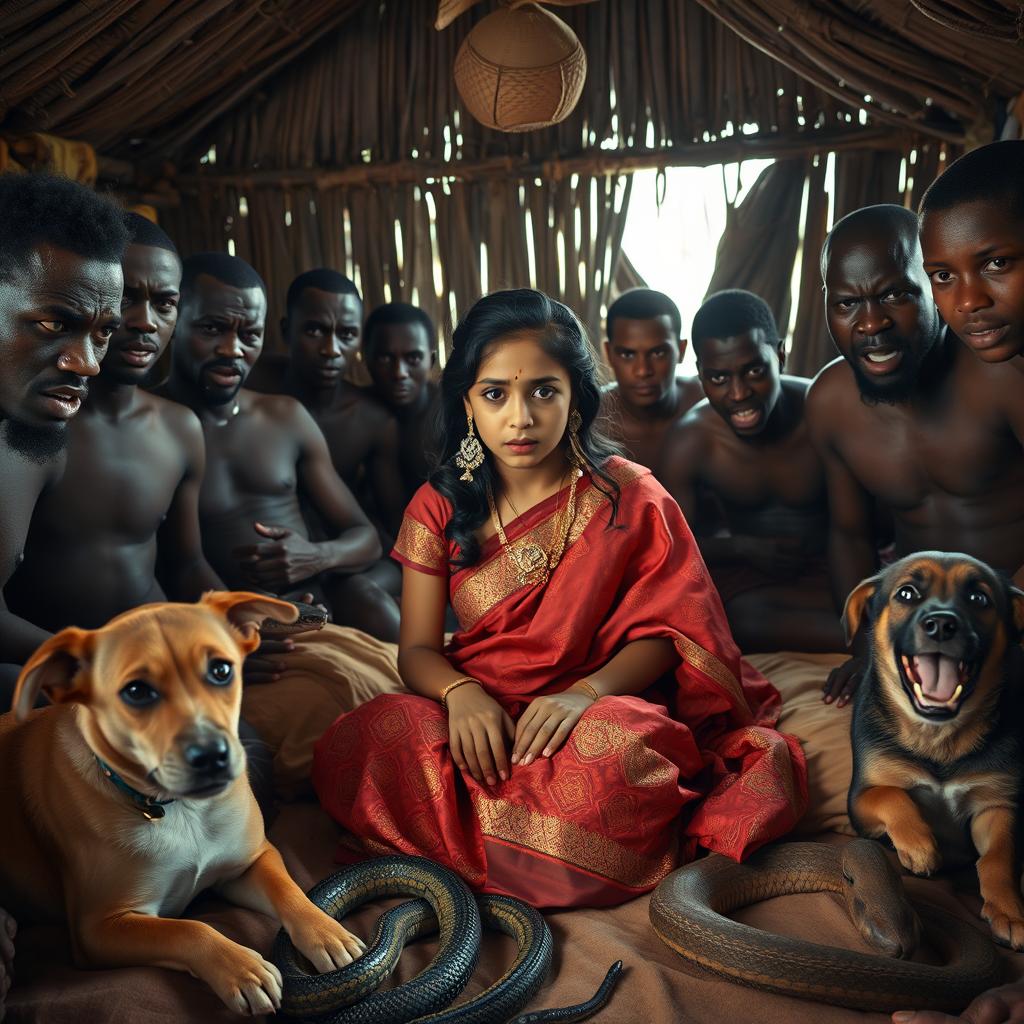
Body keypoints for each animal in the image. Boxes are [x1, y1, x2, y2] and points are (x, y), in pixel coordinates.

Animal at [0, 593, 366, 1015]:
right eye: (136, 691)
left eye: (221, 670)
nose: (212, 756)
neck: (180, 808)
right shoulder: (100, 927)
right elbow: (189, 930)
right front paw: (241, 969)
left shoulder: (251, 862)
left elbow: (289, 891)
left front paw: (327, 932)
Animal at [843, 552, 1024, 950]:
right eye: (906, 594)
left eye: (979, 599)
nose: (941, 625)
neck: (939, 737)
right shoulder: (860, 801)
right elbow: (891, 795)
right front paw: (920, 845)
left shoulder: (995, 805)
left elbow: (999, 859)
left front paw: (1009, 912)